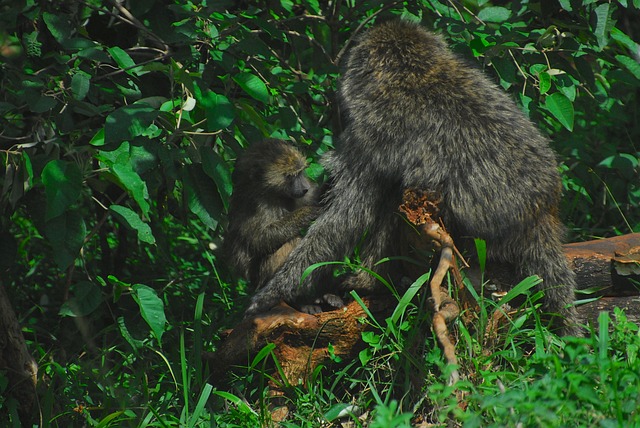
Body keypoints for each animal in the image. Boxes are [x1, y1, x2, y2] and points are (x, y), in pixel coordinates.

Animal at [244, 19, 580, 334]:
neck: (419, 74)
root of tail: (539, 216)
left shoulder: (370, 132)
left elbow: (346, 218)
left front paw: (271, 294)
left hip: (479, 244)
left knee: (392, 198)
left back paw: (367, 281)